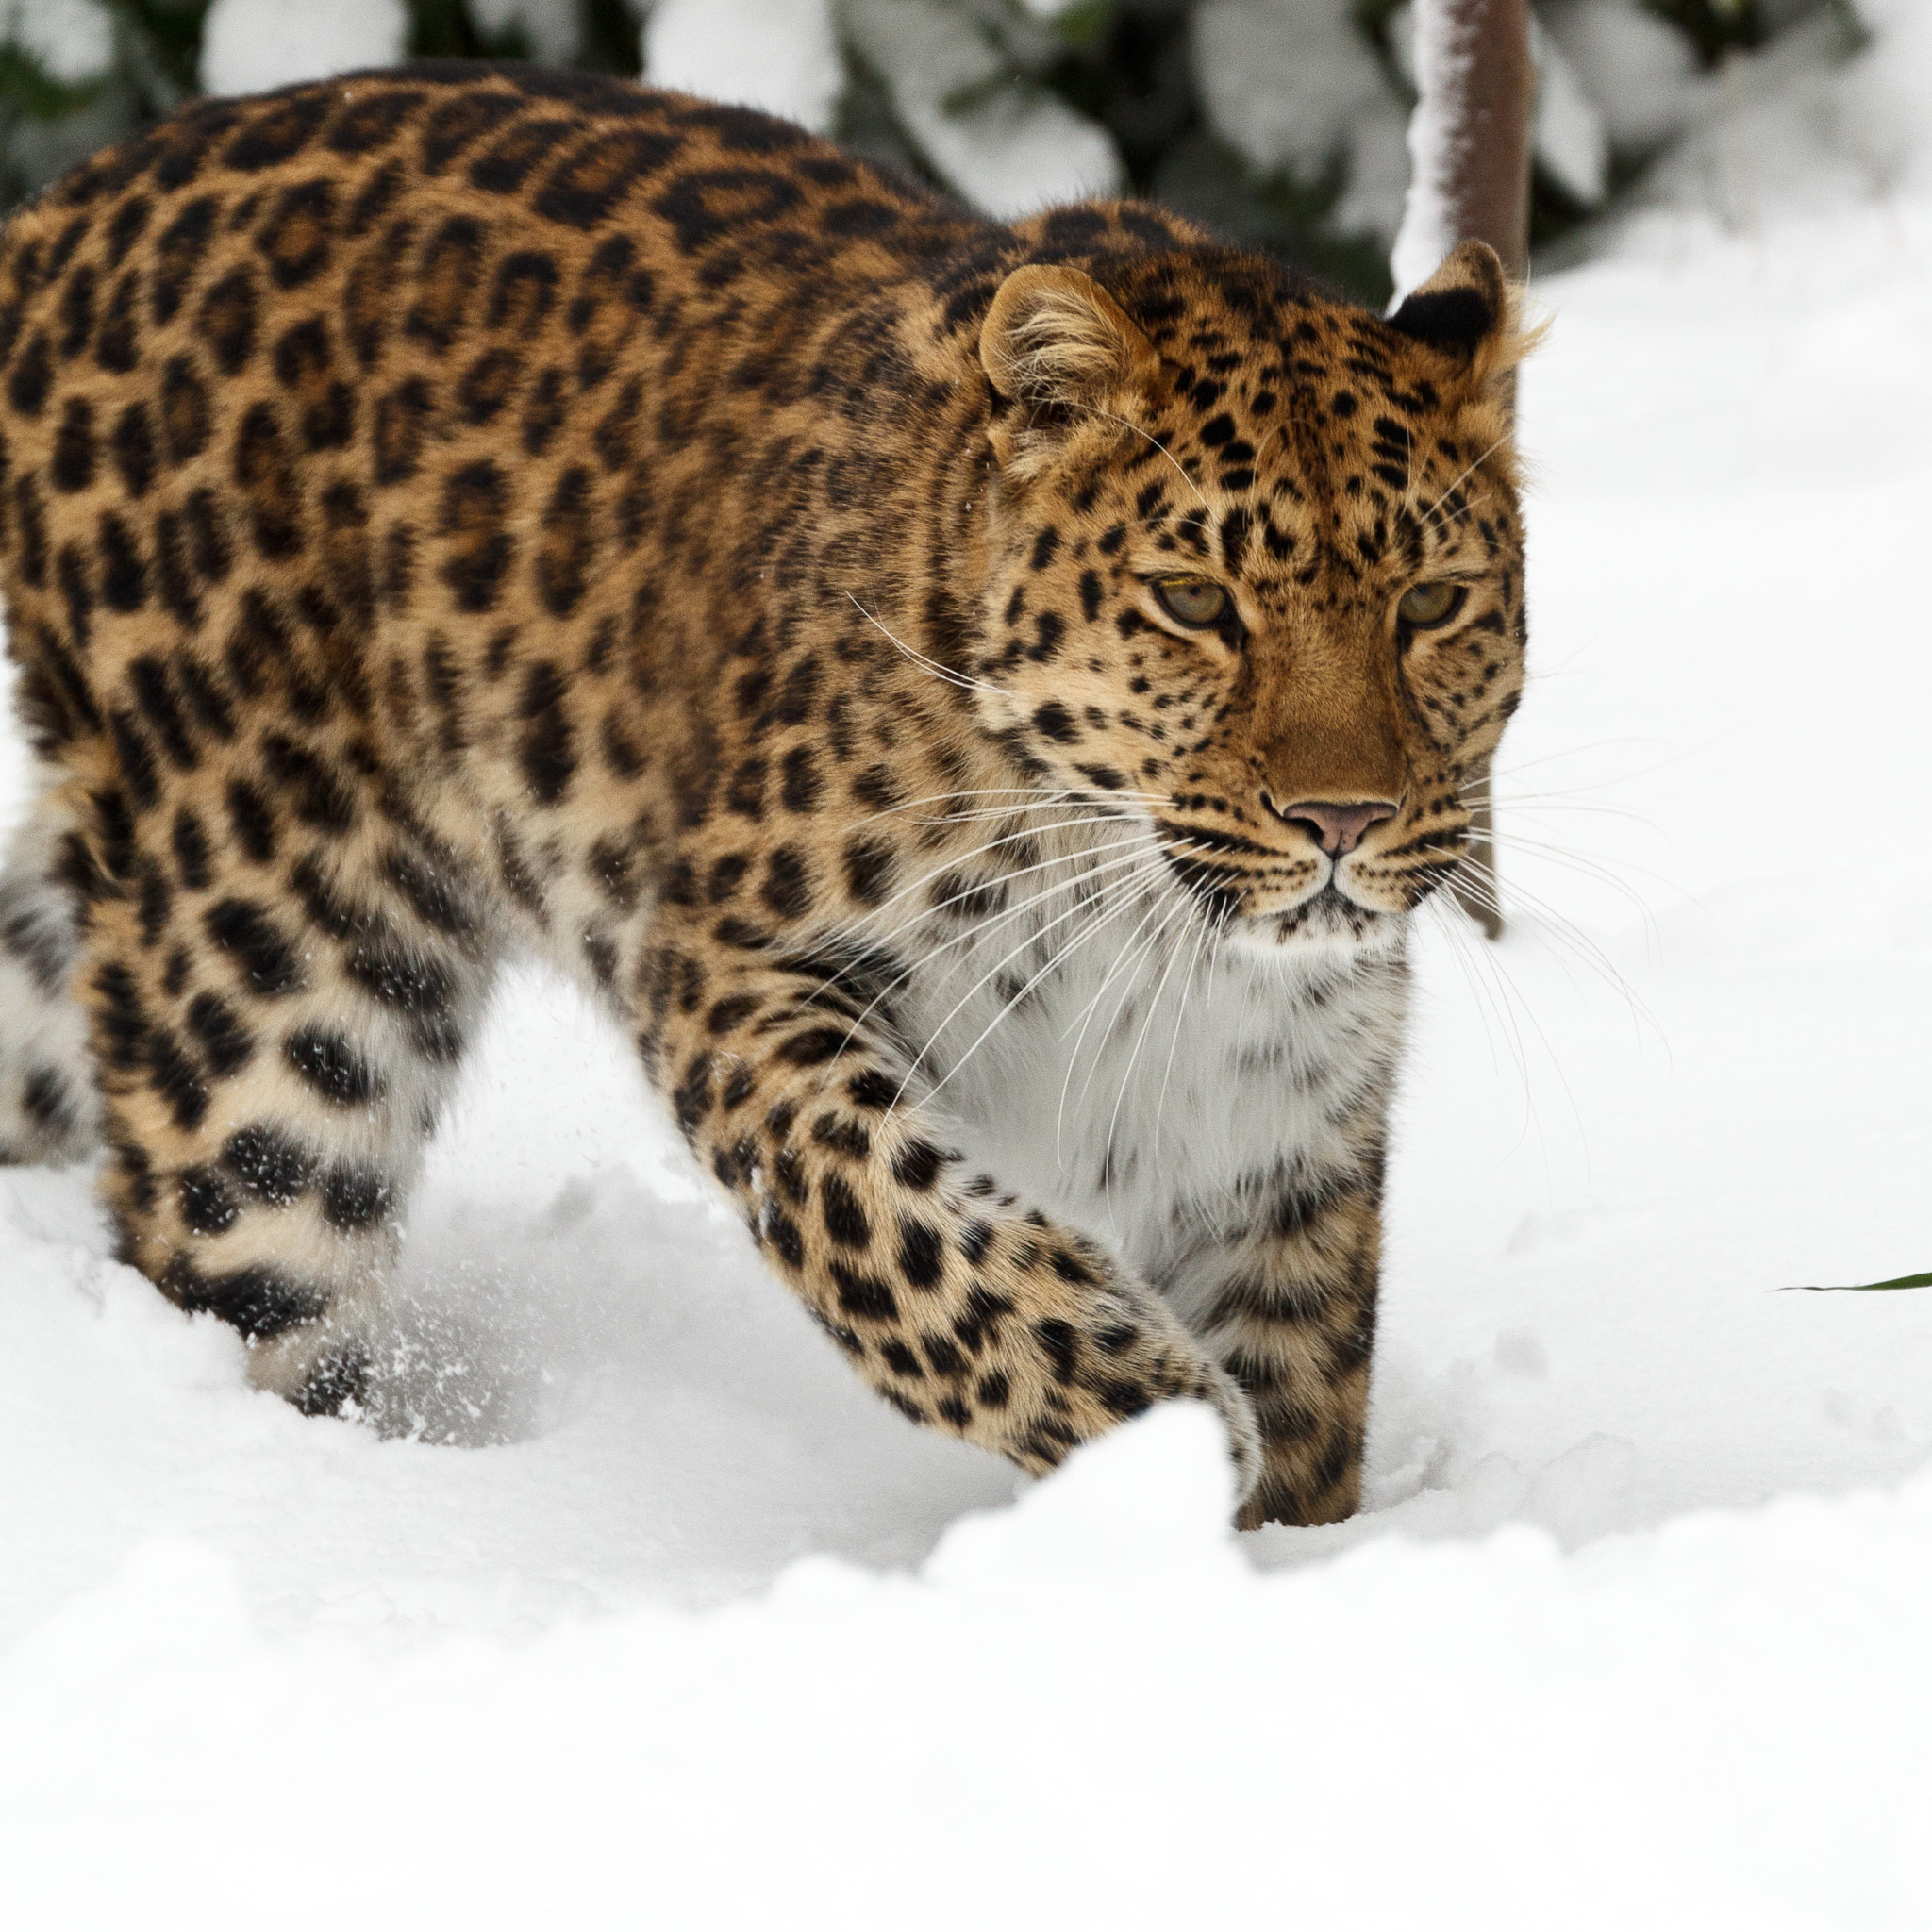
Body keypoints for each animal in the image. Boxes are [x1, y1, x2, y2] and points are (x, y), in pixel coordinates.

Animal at [0, 61, 1530, 1528]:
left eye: (1431, 603)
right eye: (1195, 603)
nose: (1343, 822)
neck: (1150, 926)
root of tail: (71, 203)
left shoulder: (1272, 1118)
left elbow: (1305, 1371)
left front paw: (1280, 1549)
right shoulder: (730, 974)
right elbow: (914, 1244)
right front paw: (1163, 1433)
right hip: (271, 985)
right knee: (243, 1272)